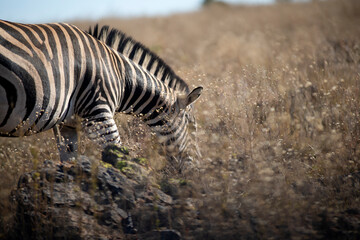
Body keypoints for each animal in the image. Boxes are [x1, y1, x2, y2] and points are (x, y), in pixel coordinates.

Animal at [0, 19, 202, 169]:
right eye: (192, 127)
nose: (198, 170)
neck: (120, 75)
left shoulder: (67, 124)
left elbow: (69, 160)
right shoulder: (98, 113)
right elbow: (119, 158)